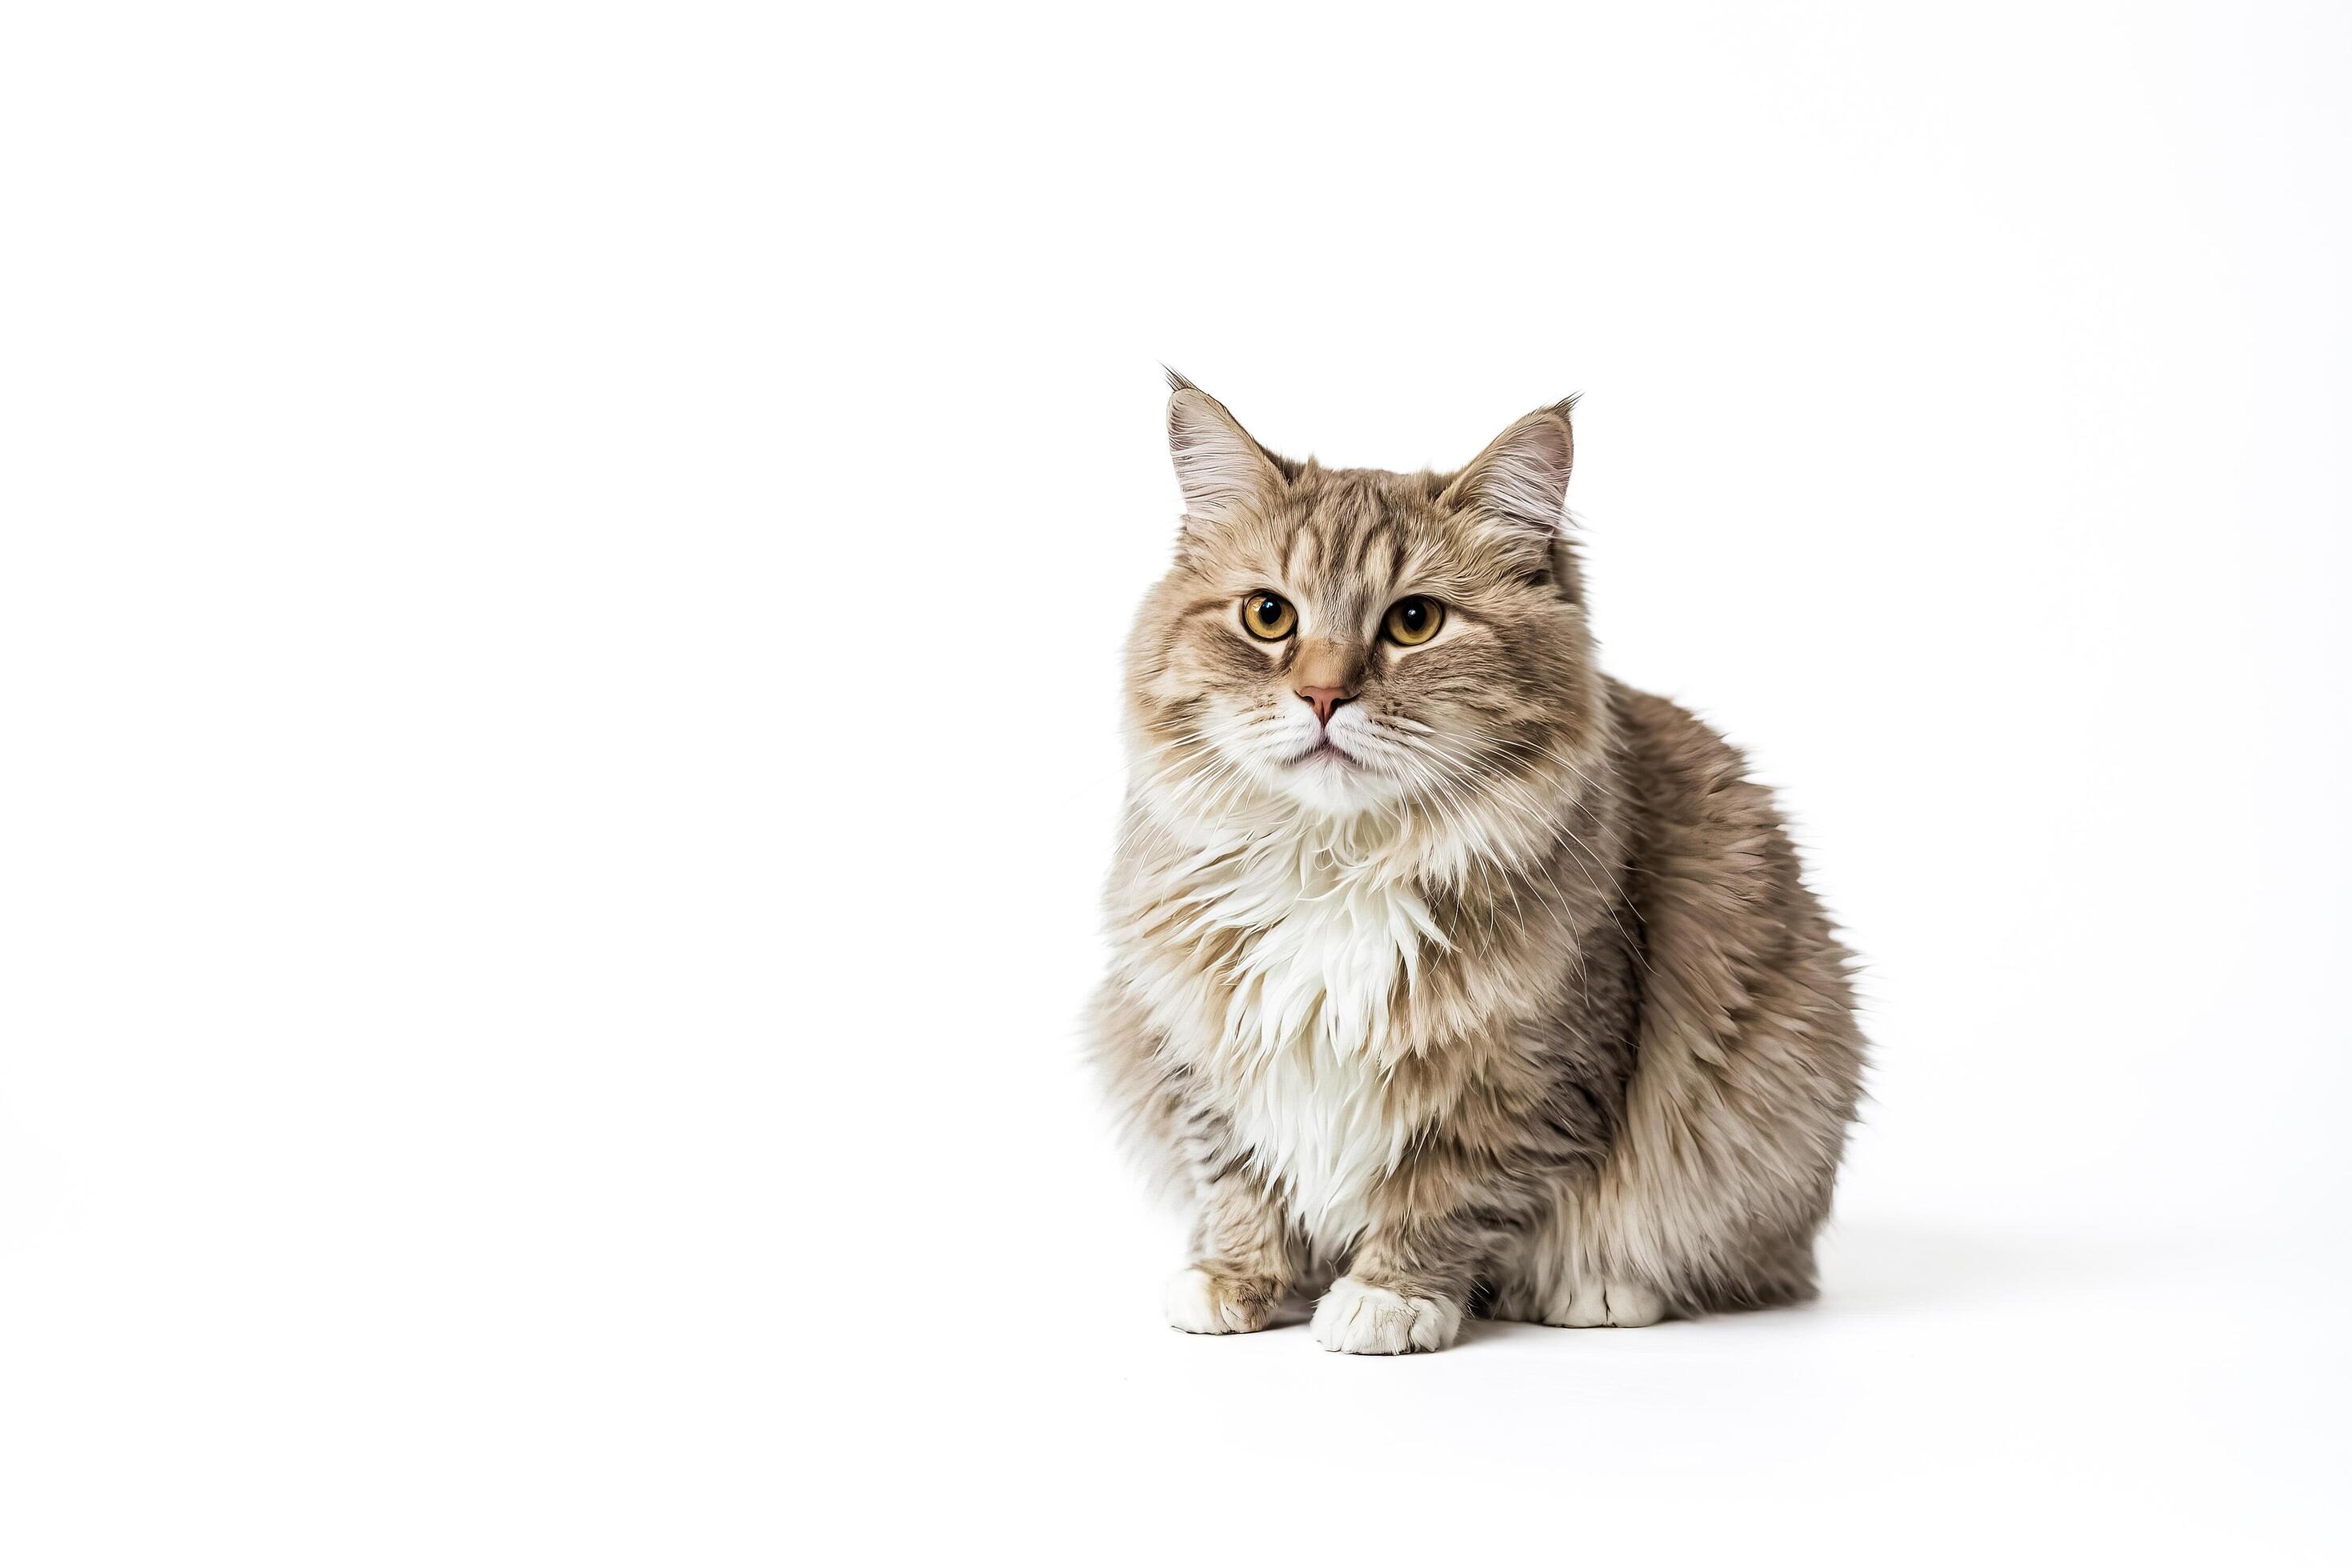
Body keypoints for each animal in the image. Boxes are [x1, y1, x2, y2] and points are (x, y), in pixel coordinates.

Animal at [1086, 374, 1872, 1354]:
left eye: (1414, 622)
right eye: (1269, 616)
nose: (1321, 694)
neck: (1340, 862)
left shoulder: (1530, 1074)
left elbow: (1444, 1194)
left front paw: (1389, 1296)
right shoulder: (1199, 1041)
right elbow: (1238, 1175)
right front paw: (1235, 1279)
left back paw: (1597, 1289)